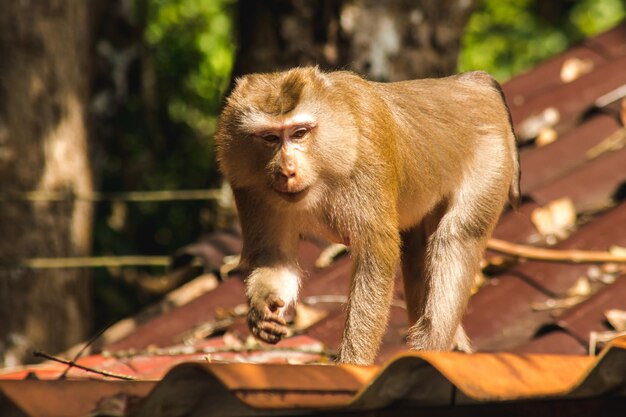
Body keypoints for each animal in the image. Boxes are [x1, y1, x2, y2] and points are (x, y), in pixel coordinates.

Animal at [214, 66, 516, 364]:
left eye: (299, 133)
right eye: (270, 138)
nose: (287, 170)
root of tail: (470, 83)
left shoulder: (366, 154)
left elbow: (376, 254)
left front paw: (354, 362)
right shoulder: (251, 188)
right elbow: (276, 258)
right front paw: (262, 312)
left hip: (492, 154)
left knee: (457, 235)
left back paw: (432, 343)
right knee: (417, 254)